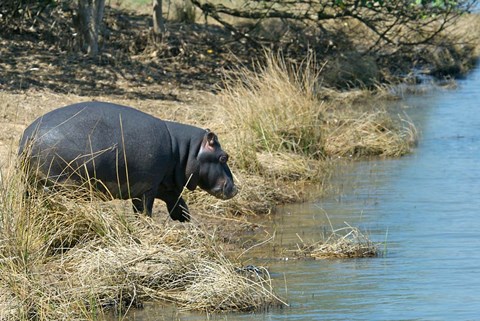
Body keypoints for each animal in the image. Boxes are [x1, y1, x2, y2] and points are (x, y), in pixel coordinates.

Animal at [19, 101, 238, 221]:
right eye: (224, 156)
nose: (235, 189)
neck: (185, 150)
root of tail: (29, 135)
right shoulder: (148, 187)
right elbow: (145, 209)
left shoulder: (163, 183)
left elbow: (176, 200)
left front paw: (184, 219)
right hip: (57, 182)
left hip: (30, 183)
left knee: (28, 200)